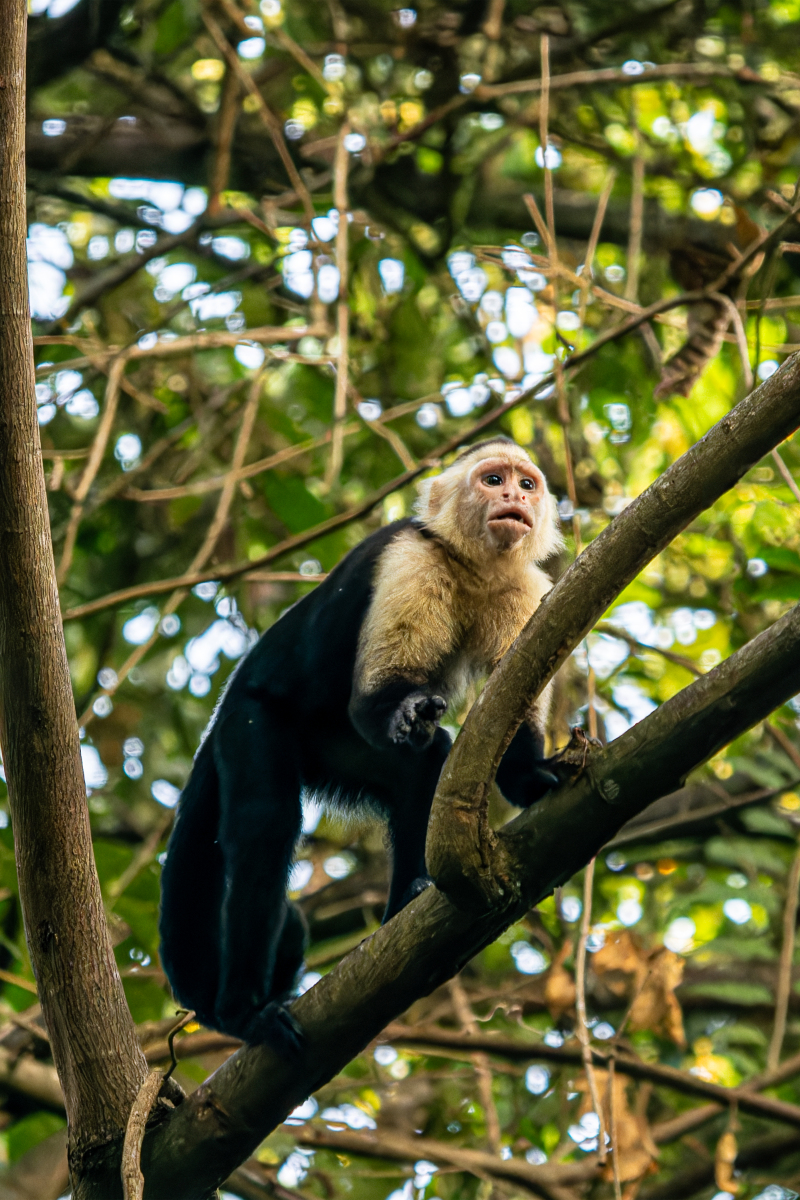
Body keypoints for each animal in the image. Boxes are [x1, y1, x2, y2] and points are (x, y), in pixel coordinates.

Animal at [159, 436, 563, 1046]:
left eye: (527, 484)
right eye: (493, 479)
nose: (515, 497)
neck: (472, 566)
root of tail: (222, 709)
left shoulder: (526, 588)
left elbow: (516, 695)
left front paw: (529, 776)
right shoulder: (410, 558)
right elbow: (374, 701)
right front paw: (406, 708)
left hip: (329, 747)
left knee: (423, 766)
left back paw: (408, 906)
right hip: (249, 722)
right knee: (265, 827)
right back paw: (243, 1012)